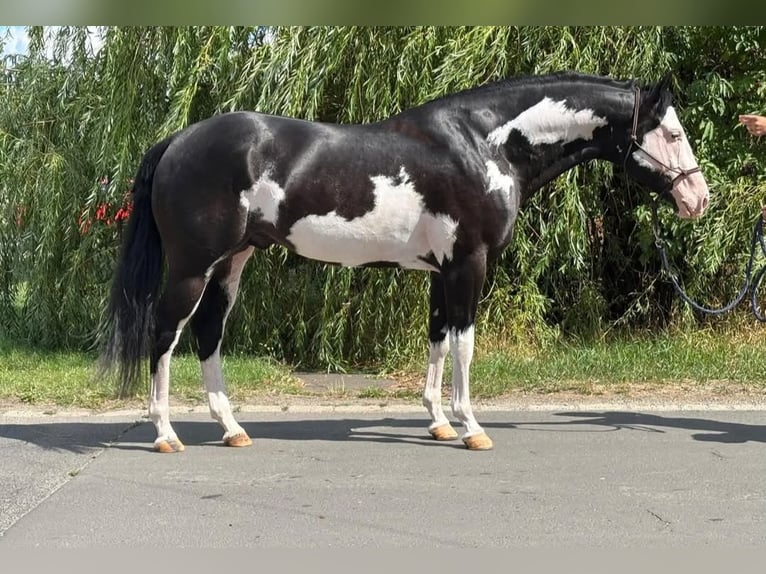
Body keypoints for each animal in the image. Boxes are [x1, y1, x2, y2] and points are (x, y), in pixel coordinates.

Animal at [101, 71, 709, 453]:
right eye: (673, 132)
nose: (698, 199)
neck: (485, 144)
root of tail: (178, 139)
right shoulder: (468, 265)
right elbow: (464, 345)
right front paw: (471, 428)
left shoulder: (442, 271)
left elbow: (437, 341)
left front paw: (438, 422)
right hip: (192, 266)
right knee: (165, 333)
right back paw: (165, 434)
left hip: (232, 261)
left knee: (208, 332)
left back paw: (231, 429)